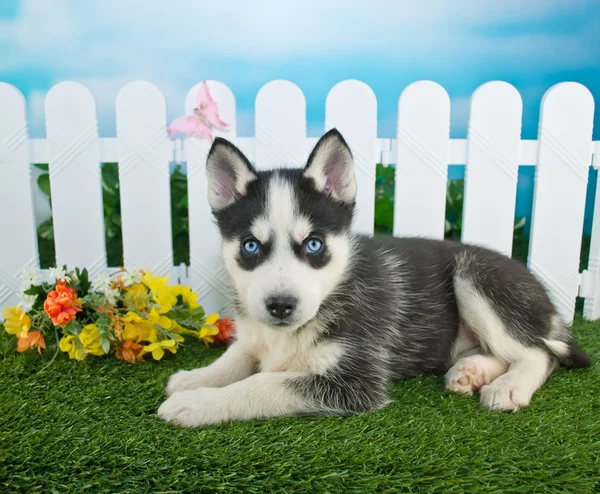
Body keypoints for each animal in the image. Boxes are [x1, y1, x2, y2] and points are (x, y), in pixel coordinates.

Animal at [156, 129, 592, 426]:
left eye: (313, 245)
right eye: (250, 246)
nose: (280, 306)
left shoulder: (355, 381)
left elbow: (262, 384)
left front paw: (198, 403)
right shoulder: (257, 334)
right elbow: (239, 355)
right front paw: (196, 379)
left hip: (475, 276)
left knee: (539, 353)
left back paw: (509, 385)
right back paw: (471, 372)